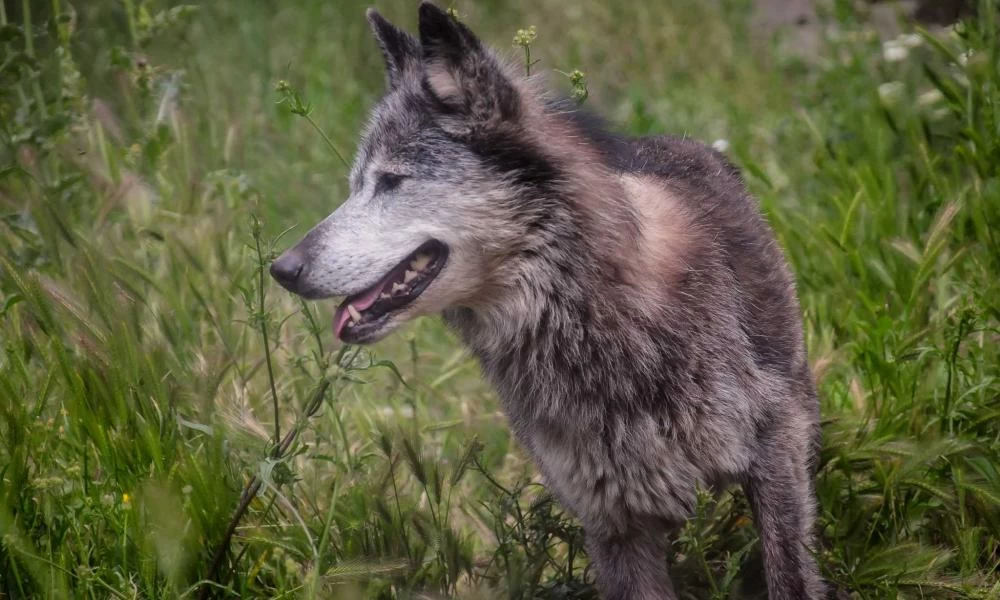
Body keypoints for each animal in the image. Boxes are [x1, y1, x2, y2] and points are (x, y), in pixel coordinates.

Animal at [270, 2, 824, 596]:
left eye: (392, 180)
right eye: (355, 186)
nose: (281, 269)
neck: (596, 323)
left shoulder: (775, 458)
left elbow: (790, 578)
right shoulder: (614, 520)